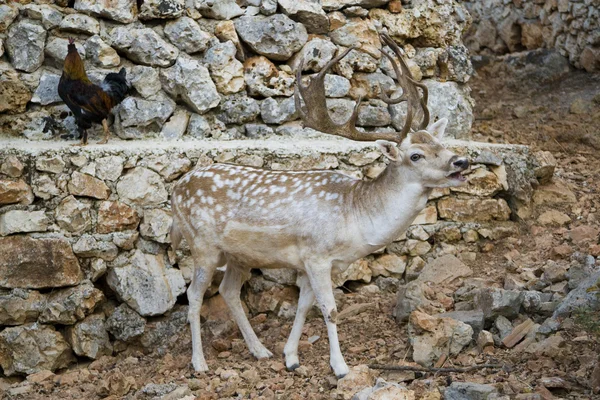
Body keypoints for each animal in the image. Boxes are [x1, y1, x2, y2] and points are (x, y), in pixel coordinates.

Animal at [171, 32, 472, 378]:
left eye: (441, 144)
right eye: (416, 155)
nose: (461, 161)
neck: (356, 218)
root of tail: (176, 188)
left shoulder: (315, 262)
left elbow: (304, 305)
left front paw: (290, 357)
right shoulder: (316, 254)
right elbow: (329, 309)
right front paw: (340, 367)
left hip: (239, 255)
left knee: (228, 292)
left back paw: (260, 350)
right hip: (202, 244)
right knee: (194, 295)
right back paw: (199, 363)